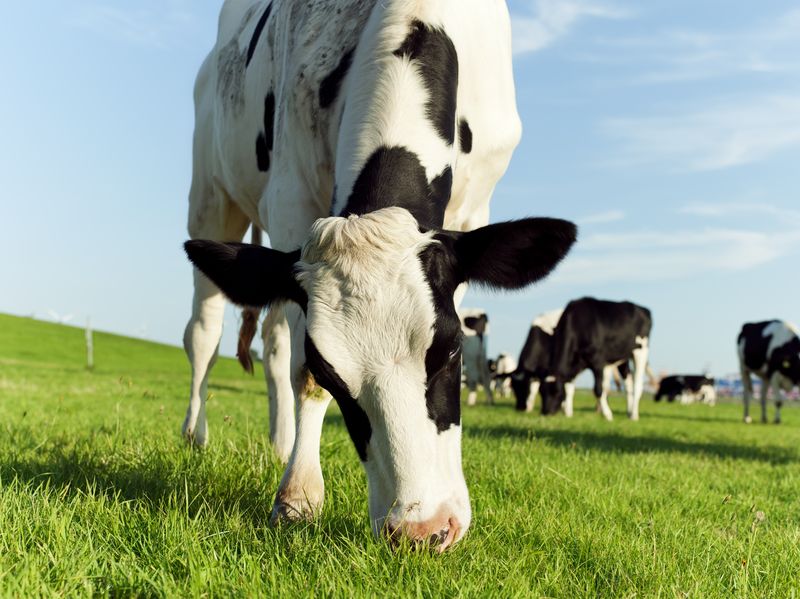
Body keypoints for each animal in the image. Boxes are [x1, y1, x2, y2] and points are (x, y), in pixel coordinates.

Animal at [181, 0, 576, 552]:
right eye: (331, 372)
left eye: (451, 350)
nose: (422, 530)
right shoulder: (290, 199)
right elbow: (301, 373)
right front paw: (298, 498)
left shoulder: (473, 209)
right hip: (212, 196)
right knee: (205, 332)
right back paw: (196, 435)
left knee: (273, 339)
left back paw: (281, 443)